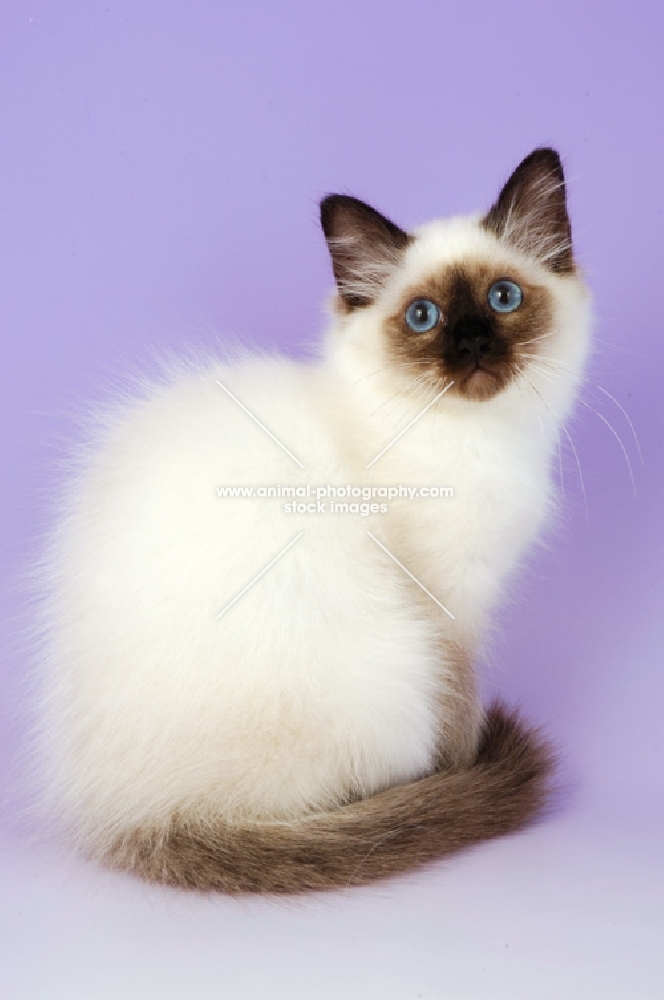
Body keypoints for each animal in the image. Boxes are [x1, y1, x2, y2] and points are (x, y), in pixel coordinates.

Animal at [35, 150, 592, 900]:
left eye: (503, 299)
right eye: (423, 317)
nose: (473, 346)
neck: (480, 440)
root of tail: (132, 813)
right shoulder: (448, 609)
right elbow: (460, 709)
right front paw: (464, 768)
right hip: (394, 668)